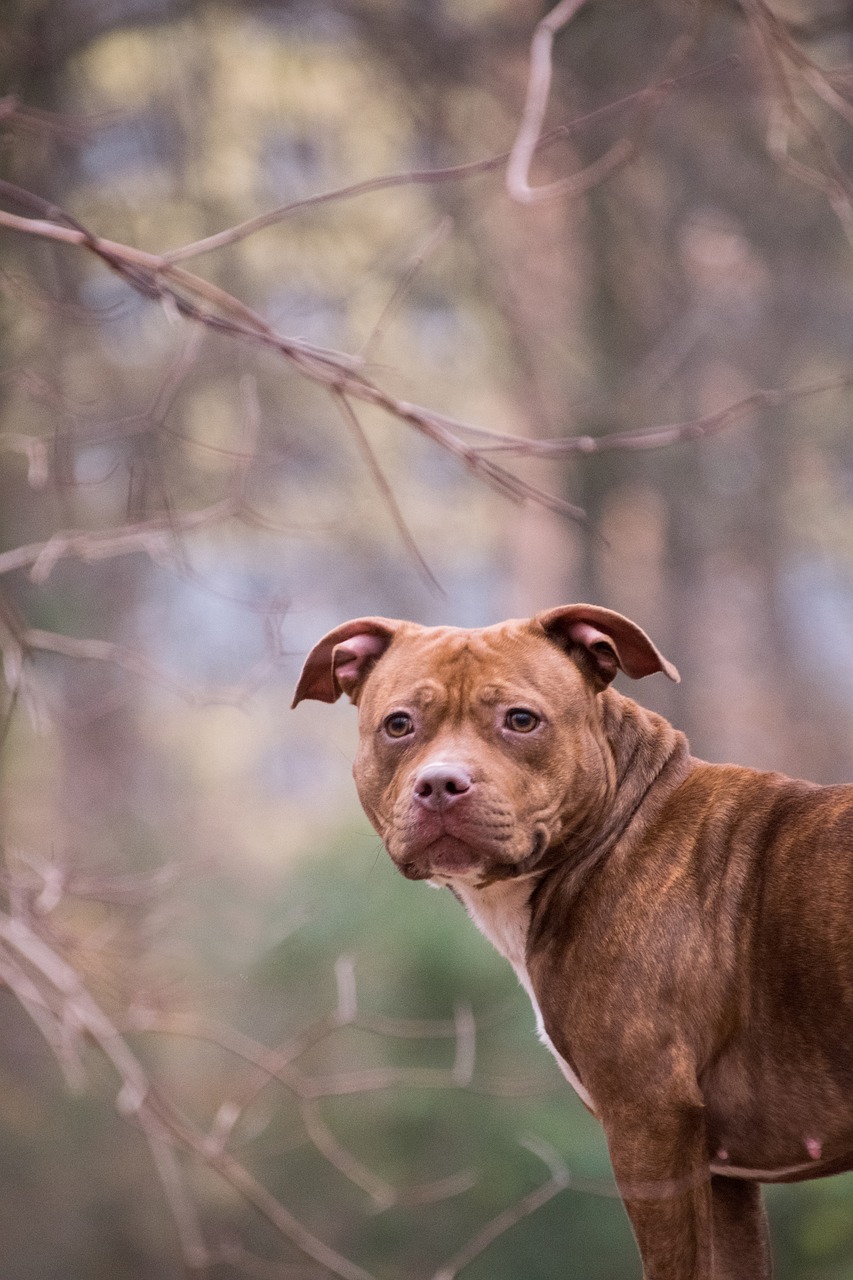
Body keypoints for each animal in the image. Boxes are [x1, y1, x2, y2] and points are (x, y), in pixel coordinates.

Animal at [290, 606, 850, 1280]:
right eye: (399, 725)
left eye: (521, 720)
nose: (441, 784)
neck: (618, 829)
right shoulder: (723, 1175)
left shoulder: (650, 1126)